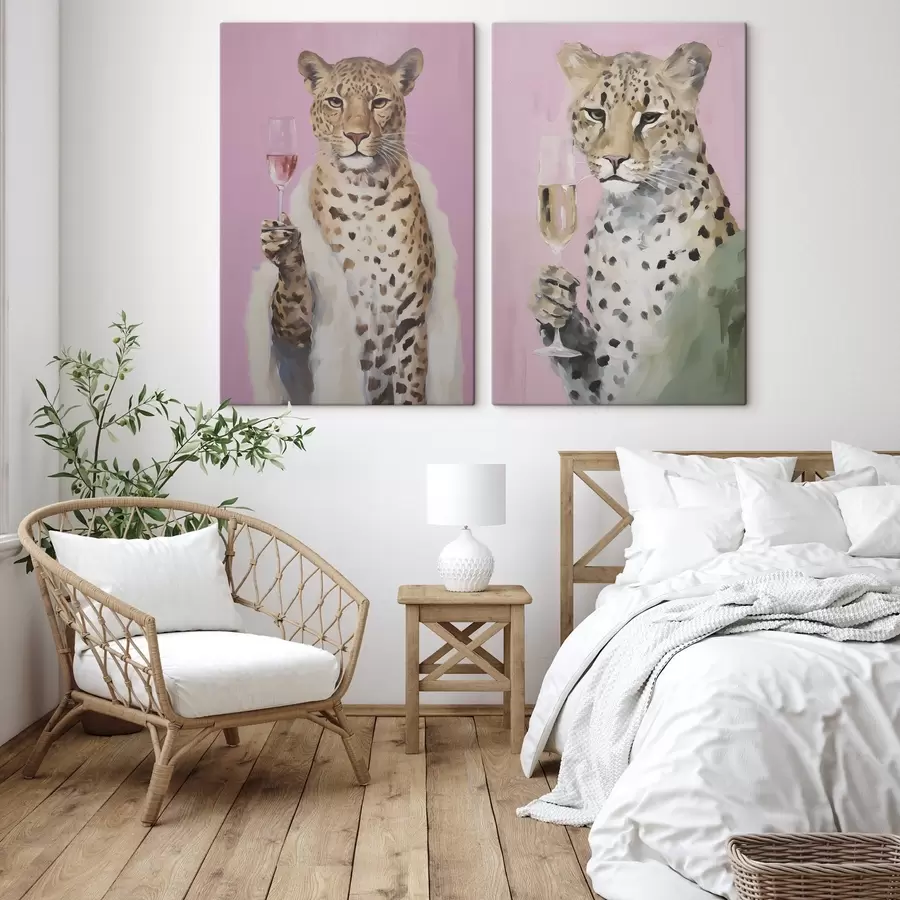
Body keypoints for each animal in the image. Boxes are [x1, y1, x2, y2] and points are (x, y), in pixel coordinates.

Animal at [261, 48, 435, 404]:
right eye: (335, 101)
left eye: (379, 102)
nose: (356, 135)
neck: (363, 192)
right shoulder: (300, 324)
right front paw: (284, 246)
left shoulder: (410, 316)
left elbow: (410, 386)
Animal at [530, 42, 745, 405]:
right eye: (596, 114)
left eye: (649, 117)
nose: (614, 159)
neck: (635, 222)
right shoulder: (612, 366)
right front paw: (551, 301)